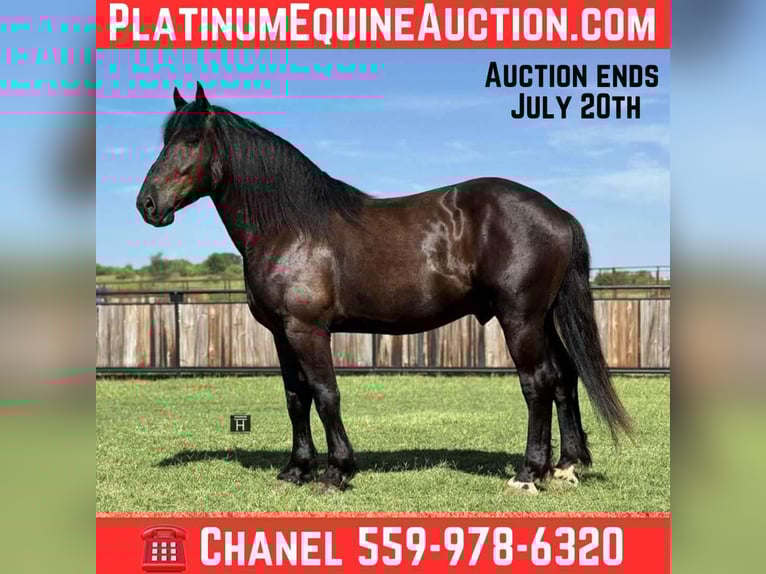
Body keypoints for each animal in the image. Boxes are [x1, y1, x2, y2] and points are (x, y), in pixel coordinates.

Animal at [136, 82, 632, 493]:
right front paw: (296, 469)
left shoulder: (307, 330)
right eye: (165, 141)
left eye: (191, 141)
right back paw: (565, 466)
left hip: (521, 319)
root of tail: (558, 214)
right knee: (565, 377)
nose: (147, 204)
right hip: (544, 318)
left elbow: (325, 395)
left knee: (538, 382)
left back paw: (529, 473)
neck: (291, 228)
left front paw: (336, 472)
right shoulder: (280, 333)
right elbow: (296, 397)